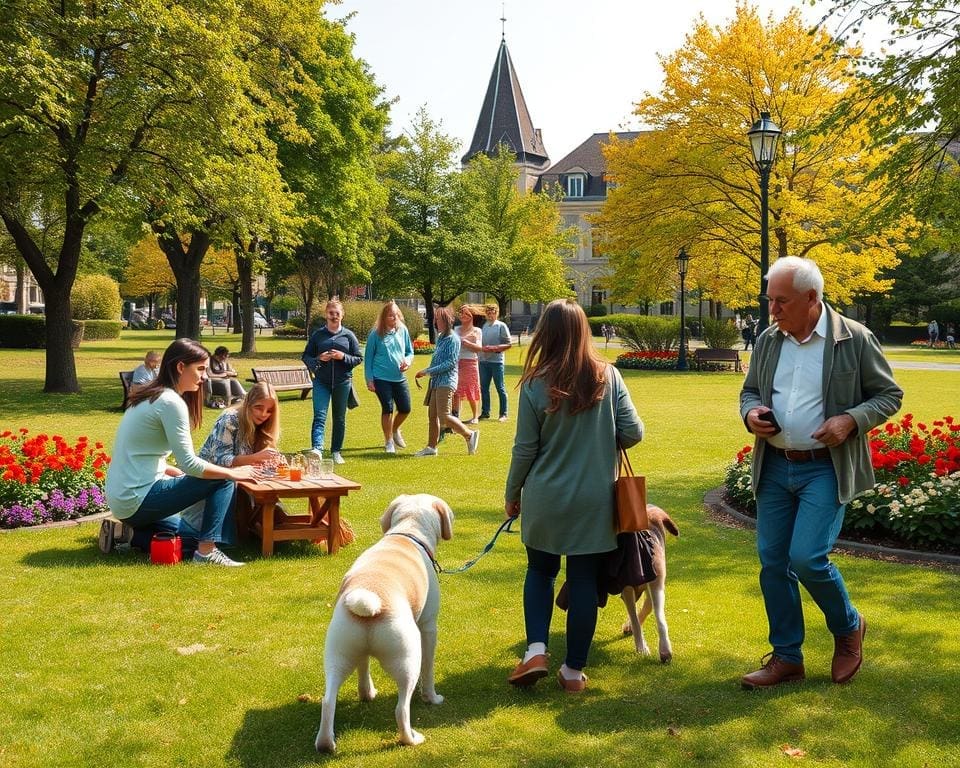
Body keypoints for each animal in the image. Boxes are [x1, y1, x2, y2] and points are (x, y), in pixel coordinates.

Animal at [314, 496, 452, 752]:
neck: (407, 530)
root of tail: (368, 599)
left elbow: (364, 666)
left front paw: (366, 693)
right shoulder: (428, 627)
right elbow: (429, 669)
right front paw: (432, 697)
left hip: (338, 654)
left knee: (328, 701)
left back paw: (327, 742)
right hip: (407, 659)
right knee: (401, 709)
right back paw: (412, 738)